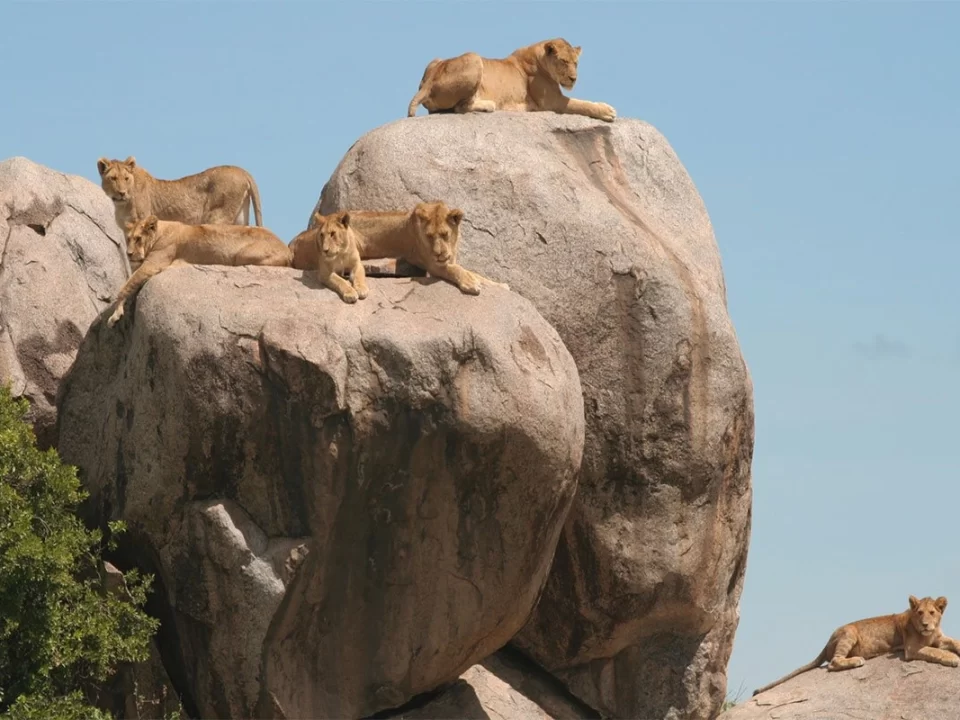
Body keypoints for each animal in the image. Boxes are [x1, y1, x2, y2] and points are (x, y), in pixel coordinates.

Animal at [97, 156, 262, 232]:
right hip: (240, 217)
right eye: (113, 178)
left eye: (126, 178)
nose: (122, 192)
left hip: (217, 216)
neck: (121, 204)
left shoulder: (142, 221)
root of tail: (243, 171)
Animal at [106, 214, 290, 326]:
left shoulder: (154, 263)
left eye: (138, 239)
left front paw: (115, 314)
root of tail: (288, 250)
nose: (129, 254)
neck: (160, 232)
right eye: (128, 239)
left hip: (241, 255)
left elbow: (125, 286)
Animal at [304, 200, 506, 296]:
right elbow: (456, 270)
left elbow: (475, 273)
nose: (439, 253)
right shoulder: (434, 265)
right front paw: (471, 283)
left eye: (445, 234)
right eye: (429, 236)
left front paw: (500, 285)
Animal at [404, 37, 616, 122]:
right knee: (459, 107)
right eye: (564, 61)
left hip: (435, 60)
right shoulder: (552, 102)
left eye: (576, 63)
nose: (573, 79)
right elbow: (581, 104)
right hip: (474, 57)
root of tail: (427, 82)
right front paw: (607, 111)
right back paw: (488, 105)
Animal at [752, 592, 956, 696]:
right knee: (833, 662)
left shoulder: (940, 638)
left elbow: (955, 642)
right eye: (920, 613)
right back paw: (857, 660)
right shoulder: (912, 649)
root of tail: (827, 641)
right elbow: (935, 652)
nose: (925, 624)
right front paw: (953, 659)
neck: (930, 633)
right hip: (849, 633)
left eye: (932, 613)